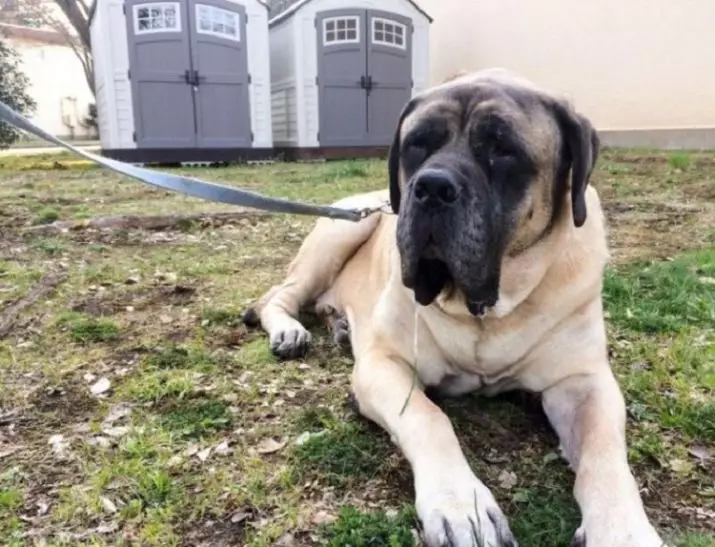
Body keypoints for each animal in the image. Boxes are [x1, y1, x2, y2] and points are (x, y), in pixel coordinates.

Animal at [245, 69, 664, 547]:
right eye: (417, 144)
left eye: (502, 149)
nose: (431, 187)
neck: (486, 311)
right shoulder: (384, 366)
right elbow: (430, 419)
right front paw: (461, 505)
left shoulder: (583, 382)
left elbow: (605, 453)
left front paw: (622, 529)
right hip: (343, 229)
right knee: (280, 295)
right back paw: (289, 330)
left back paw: (341, 328)